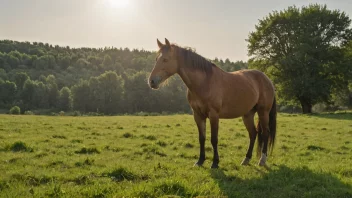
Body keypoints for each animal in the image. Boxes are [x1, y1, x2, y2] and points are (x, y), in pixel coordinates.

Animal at [147, 38, 276, 169]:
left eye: (165, 59)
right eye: (156, 59)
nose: (151, 81)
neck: (204, 82)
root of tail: (266, 79)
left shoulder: (214, 115)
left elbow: (214, 139)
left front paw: (215, 162)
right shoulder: (198, 115)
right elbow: (202, 138)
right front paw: (200, 161)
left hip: (263, 112)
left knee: (265, 133)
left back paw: (262, 160)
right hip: (248, 114)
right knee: (253, 134)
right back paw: (246, 159)